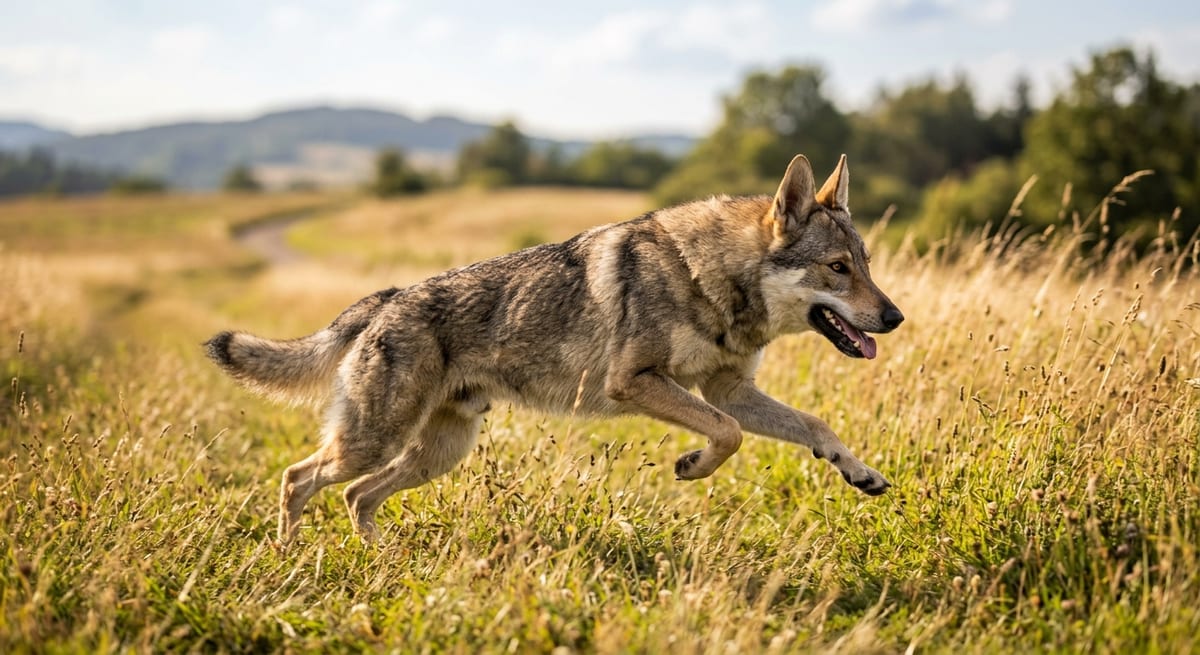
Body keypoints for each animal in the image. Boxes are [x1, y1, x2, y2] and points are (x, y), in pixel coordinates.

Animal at [206, 154, 904, 543]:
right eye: (838, 268)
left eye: (867, 264)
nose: (895, 317)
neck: (711, 276)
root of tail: (385, 299)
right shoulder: (644, 383)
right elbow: (727, 435)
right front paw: (691, 466)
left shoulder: (730, 388)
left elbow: (813, 425)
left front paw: (858, 471)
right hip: (374, 442)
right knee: (299, 478)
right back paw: (289, 555)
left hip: (436, 454)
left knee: (356, 497)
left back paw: (379, 557)